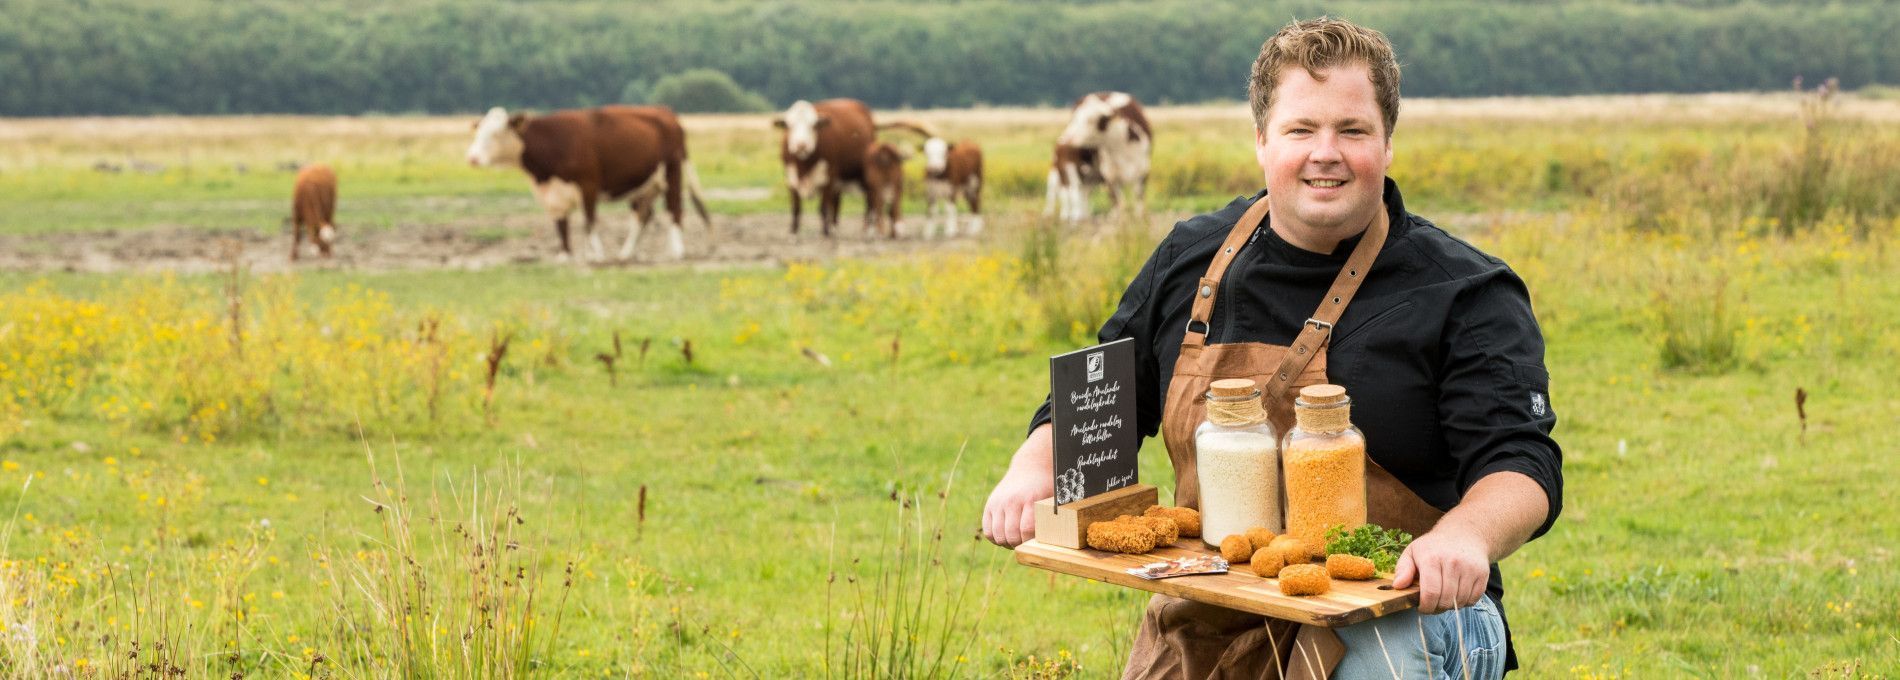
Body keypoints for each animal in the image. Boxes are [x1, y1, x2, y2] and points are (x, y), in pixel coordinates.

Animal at [465, 104, 714, 262]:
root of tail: (666, 113)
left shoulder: (588, 185)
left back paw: (677, 251)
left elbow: (589, 221)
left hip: (672, 173)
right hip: (645, 185)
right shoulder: (553, 193)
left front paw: (596, 255)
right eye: (478, 132)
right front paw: (565, 255)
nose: (472, 158)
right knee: (643, 216)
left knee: (675, 210)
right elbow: (561, 224)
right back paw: (627, 253)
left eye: (496, 134)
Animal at [1048, 90, 1147, 222]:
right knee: (1066, 191)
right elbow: (1118, 201)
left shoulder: (1143, 172)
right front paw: (1119, 220)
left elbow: (1138, 197)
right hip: (1065, 169)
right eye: (1075, 117)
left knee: (1081, 191)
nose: (1067, 139)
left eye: (1091, 120)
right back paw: (1067, 215)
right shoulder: (1110, 177)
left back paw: (1083, 216)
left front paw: (1139, 219)